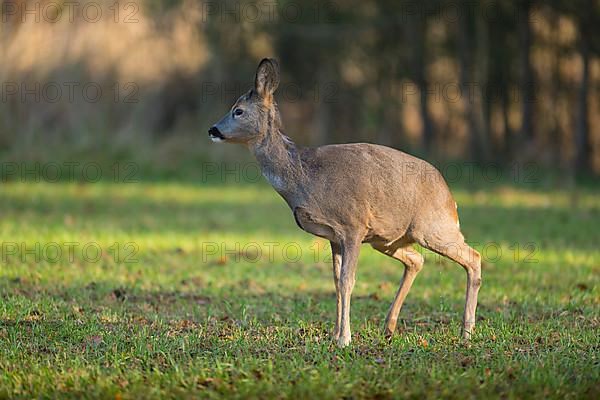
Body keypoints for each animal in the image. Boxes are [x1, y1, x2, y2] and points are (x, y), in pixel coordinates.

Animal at [209, 57, 480, 346]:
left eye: (238, 110)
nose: (212, 129)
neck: (303, 176)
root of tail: (450, 196)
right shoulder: (333, 236)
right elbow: (336, 282)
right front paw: (335, 334)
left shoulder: (353, 225)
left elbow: (348, 281)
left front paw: (344, 339)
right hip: (387, 239)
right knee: (417, 260)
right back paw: (389, 327)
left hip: (432, 227)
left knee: (473, 257)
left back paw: (466, 332)